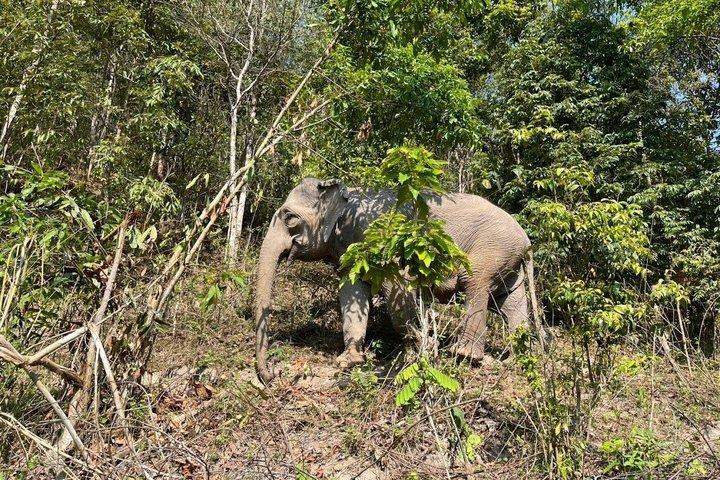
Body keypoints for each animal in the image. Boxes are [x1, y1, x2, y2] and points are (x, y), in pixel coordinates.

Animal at [254, 177, 543, 383]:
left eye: (290, 218)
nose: (274, 374)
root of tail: (526, 241)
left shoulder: (380, 237)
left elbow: (396, 286)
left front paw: (421, 348)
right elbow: (352, 293)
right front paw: (348, 361)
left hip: (492, 249)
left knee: (476, 284)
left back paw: (463, 355)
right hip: (508, 262)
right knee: (510, 304)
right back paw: (517, 360)